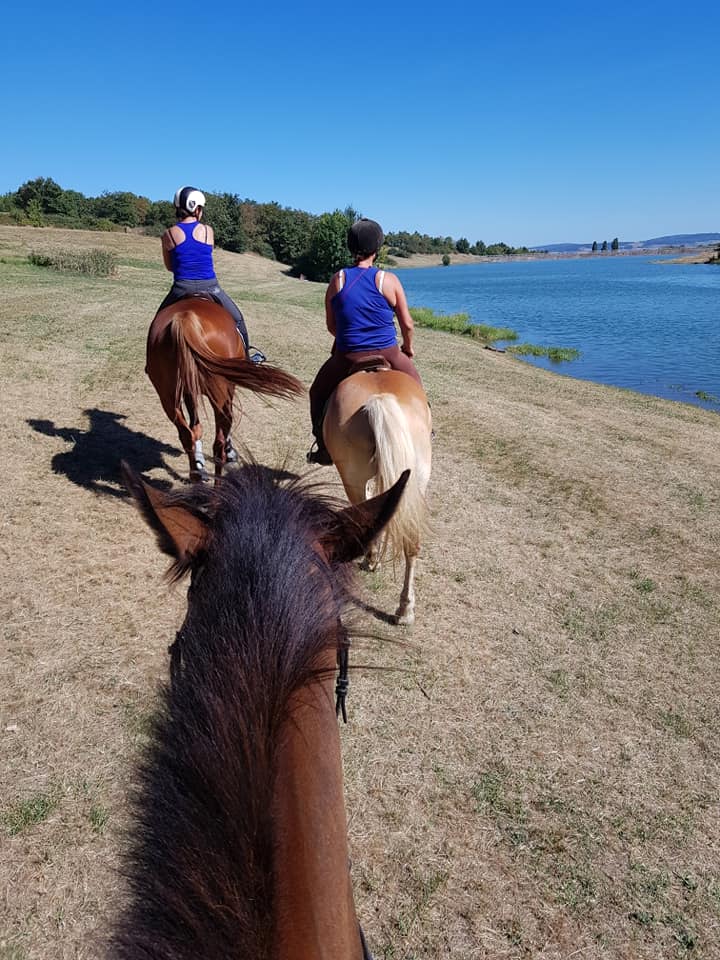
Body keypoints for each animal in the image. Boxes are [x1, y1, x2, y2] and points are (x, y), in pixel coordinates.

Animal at [146, 298, 304, 480]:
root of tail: (184, 320)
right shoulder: (229, 390)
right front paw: (230, 453)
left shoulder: (188, 391)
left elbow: (195, 427)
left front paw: (199, 464)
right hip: (220, 395)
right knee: (218, 444)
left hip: (167, 397)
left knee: (186, 434)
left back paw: (196, 476)